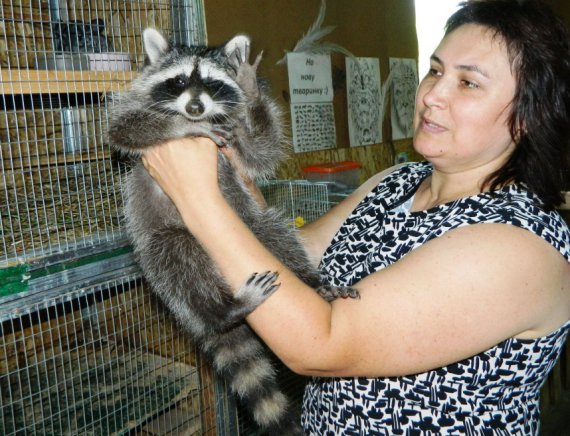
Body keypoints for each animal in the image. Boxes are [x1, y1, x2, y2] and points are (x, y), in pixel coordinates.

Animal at [107, 29, 356, 434]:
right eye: (178, 81)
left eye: (212, 82)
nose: (195, 109)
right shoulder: (133, 106)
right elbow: (125, 127)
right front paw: (185, 127)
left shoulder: (239, 140)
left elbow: (261, 151)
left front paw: (250, 87)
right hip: (163, 247)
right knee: (174, 252)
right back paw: (221, 310)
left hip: (249, 224)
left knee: (267, 226)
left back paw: (309, 279)